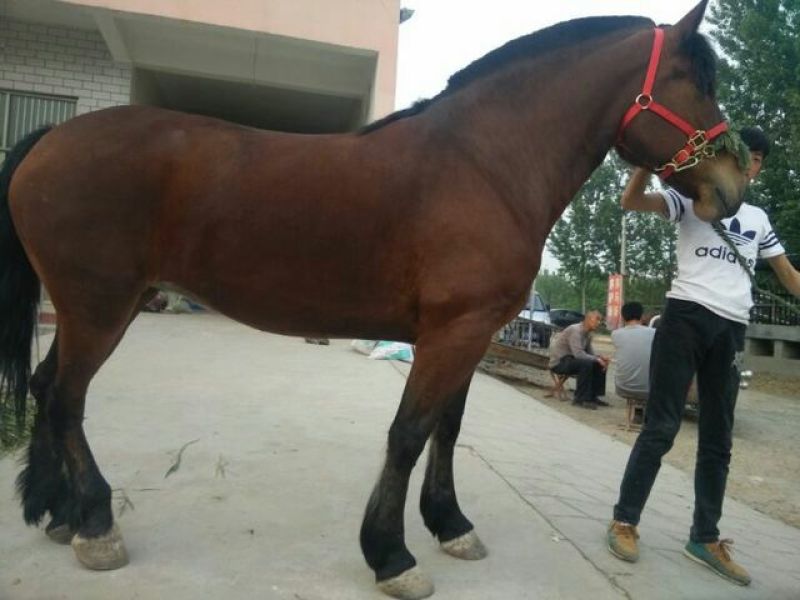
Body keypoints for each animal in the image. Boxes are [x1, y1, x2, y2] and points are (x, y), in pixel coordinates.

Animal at [0, 1, 749, 598]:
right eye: (694, 81)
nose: (732, 188)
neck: (485, 165)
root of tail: (52, 138)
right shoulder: (451, 332)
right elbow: (409, 432)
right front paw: (391, 556)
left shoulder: (469, 333)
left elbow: (447, 428)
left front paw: (451, 525)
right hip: (99, 307)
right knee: (65, 397)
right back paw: (97, 524)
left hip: (101, 307)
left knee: (45, 385)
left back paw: (58, 512)